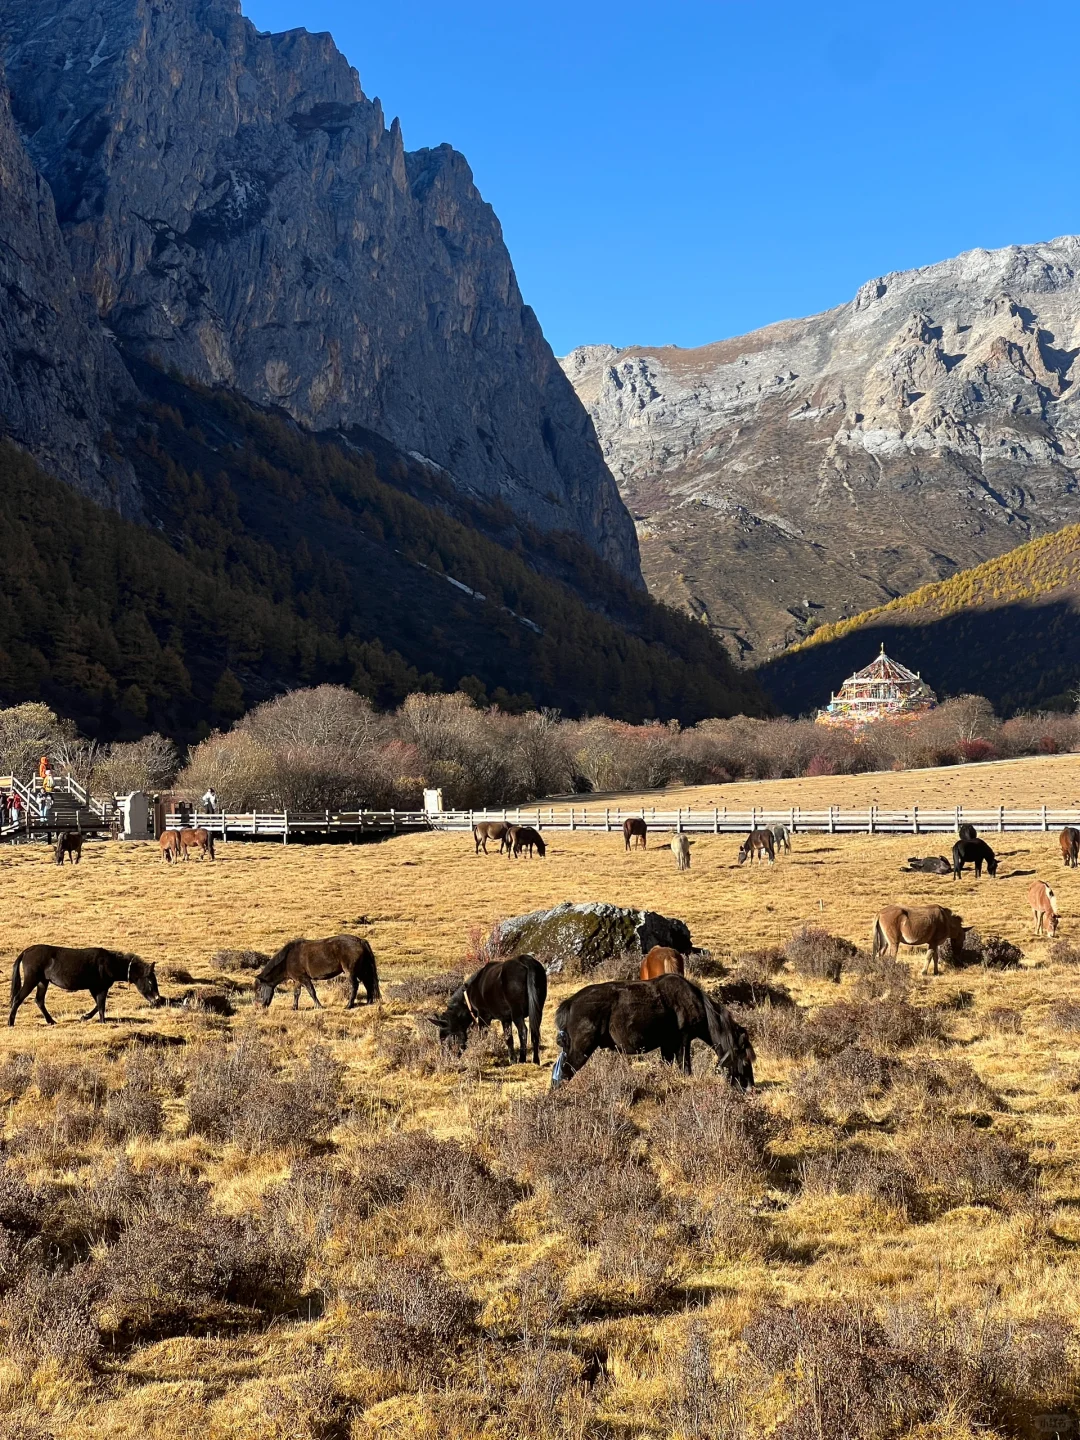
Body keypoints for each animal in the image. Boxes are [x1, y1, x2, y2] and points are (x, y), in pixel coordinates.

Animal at [7, 944, 160, 1025]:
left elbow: (98, 1005)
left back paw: (51, 1021)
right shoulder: (100, 987)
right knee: (18, 998)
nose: (157, 1000)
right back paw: (10, 1023)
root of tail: (26, 951)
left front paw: (85, 1017)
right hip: (32, 979)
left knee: (39, 1000)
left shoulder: (95, 988)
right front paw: (101, 1021)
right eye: (150, 981)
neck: (111, 963)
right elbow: (101, 1005)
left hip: (42, 982)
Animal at [552, 979, 754, 1088]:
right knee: (564, 1074)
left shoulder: (668, 1045)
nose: (749, 1087)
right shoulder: (682, 1041)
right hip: (581, 1049)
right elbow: (685, 1068)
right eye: (745, 1060)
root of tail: (570, 1002)